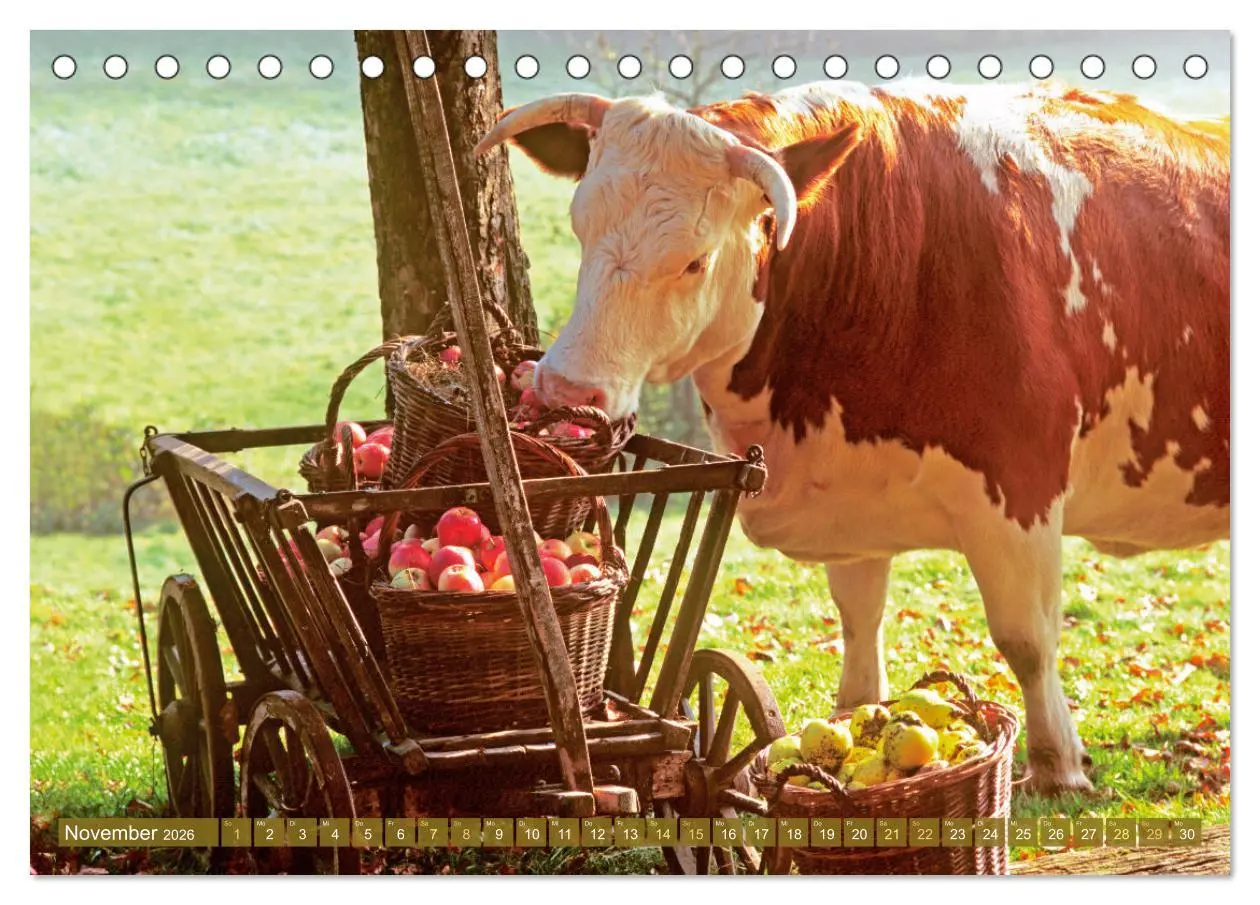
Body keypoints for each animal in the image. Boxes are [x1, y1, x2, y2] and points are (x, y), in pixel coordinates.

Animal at [475, 80, 1230, 793]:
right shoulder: (854, 500)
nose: (566, 389)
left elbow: (1027, 638)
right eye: (580, 227)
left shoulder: (1020, 487)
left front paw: (1059, 767)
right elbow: (860, 630)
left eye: (694, 261)